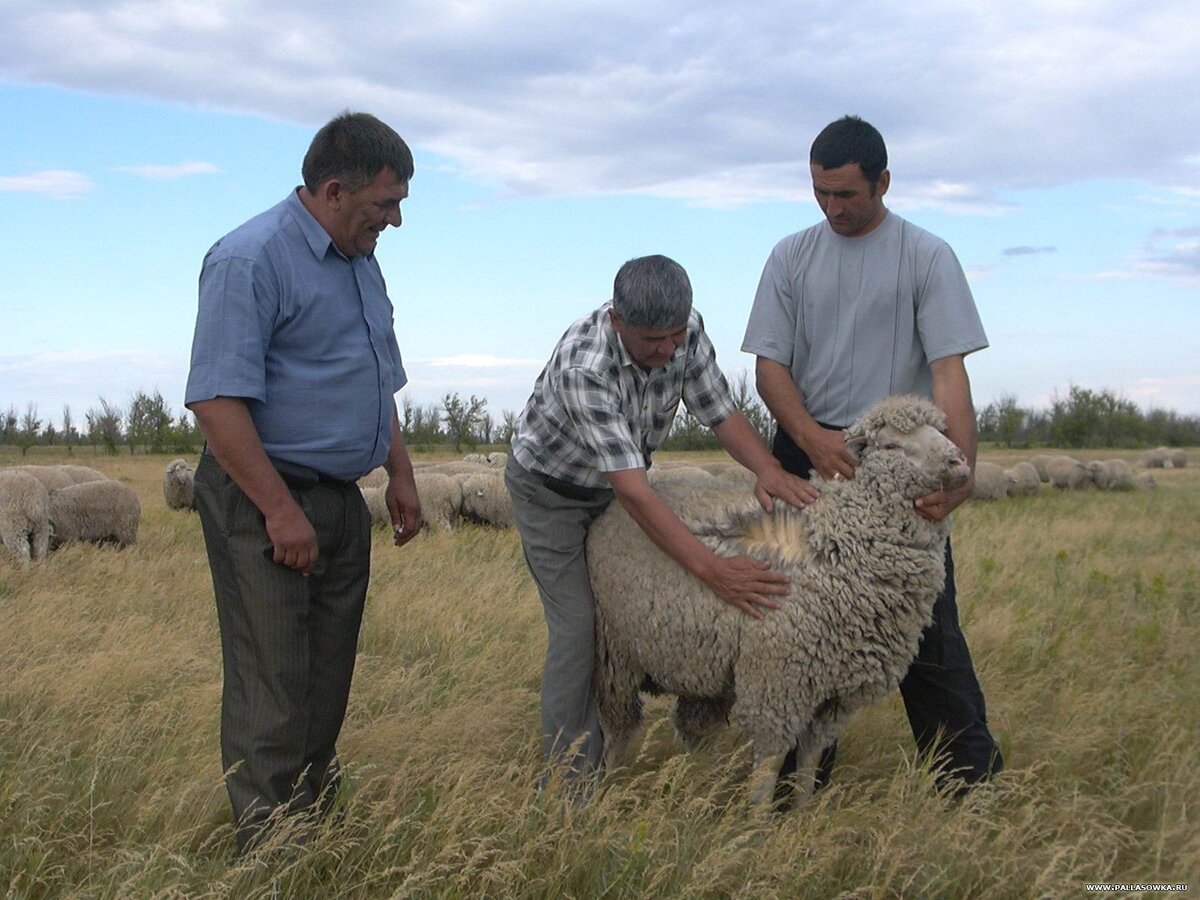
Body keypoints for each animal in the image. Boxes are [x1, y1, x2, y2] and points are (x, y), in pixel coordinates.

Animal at [585, 398, 969, 806]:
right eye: (892, 445)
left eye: (940, 431)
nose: (959, 462)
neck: (833, 542)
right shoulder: (777, 682)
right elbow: (770, 764)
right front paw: (758, 816)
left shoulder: (835, 697)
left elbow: (810, 758)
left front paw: (802, 812)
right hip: (614, 655)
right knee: (619, 728)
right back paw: (609, 785)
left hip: (701, 662)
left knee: (695, 729)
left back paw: (706, 786)